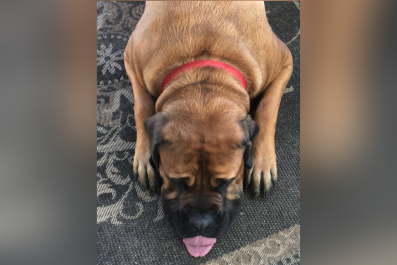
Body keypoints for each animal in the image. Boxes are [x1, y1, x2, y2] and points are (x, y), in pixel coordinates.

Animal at [123, 0, 290, 256]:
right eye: (177, 181)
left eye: (227, 181)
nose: (200, 224)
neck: (206, 61)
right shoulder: (131, 58)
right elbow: (141, 105)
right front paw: (144, 158)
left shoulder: (284, 62)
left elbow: (267, 109)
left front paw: (262, 164)